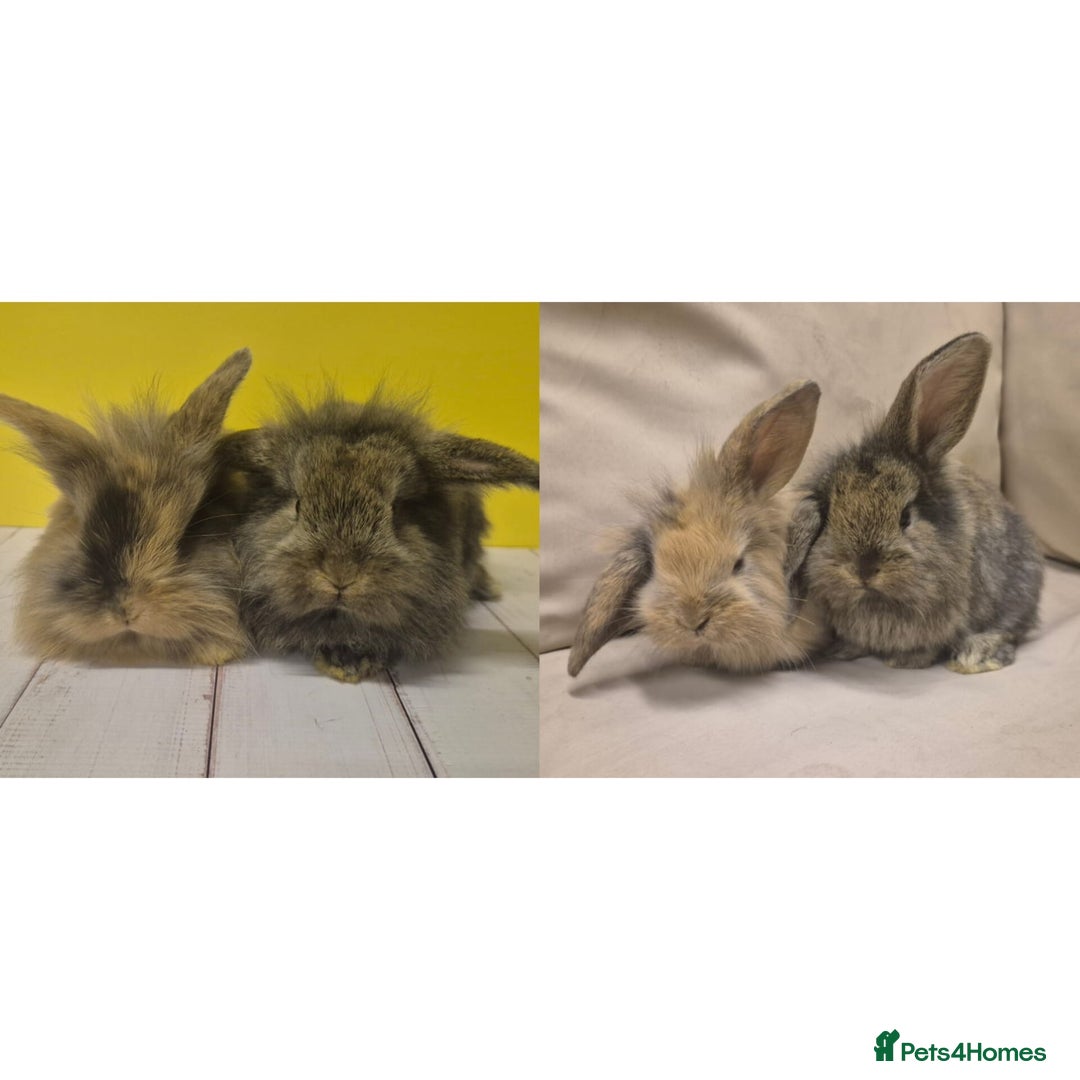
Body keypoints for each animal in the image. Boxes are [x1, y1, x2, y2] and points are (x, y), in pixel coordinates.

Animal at [793, 331, 1044, 674]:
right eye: (830, 514)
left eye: (906, 517)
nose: (864, 569)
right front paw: (844, 650)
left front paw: (905, 661)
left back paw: (975, 656)